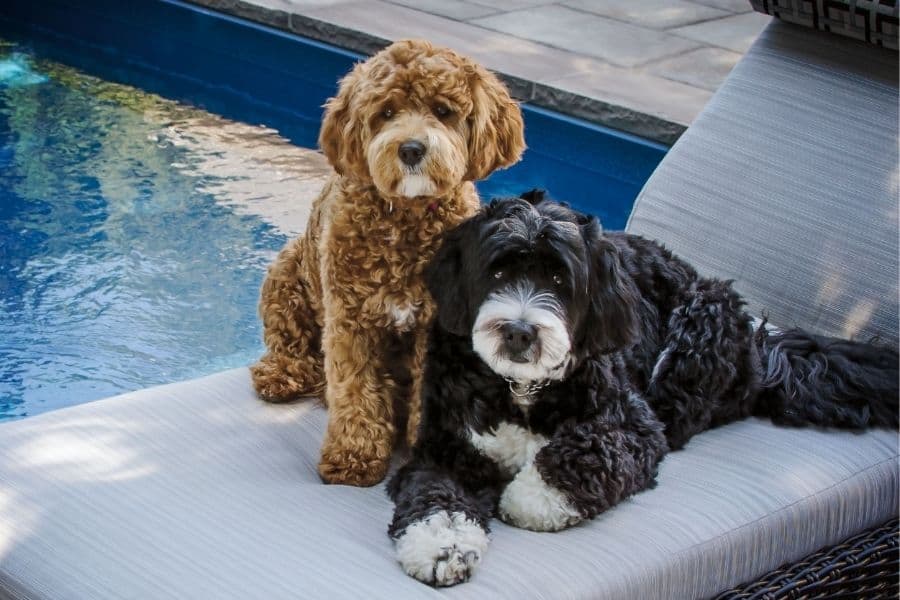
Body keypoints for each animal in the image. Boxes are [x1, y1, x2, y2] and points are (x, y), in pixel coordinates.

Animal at [250, 38, 524, 488]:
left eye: (443, 110)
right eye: (387, 113)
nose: (411, 149)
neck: (405, 218)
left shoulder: (438, 326)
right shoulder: (350, 320)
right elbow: (355, 389)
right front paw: (354, 456)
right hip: (286, 274)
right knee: (291, 346)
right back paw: (282, 374)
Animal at [388, 191, 900, 584]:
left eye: (558, 278)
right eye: (495, 272)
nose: (518, 332)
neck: (519, 389)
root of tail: (761, 347)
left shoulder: (631, 426)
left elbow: (579, 456)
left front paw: (525, 497)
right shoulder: (446, 444)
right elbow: (435, 495)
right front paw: (442, 547)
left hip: (699, 328)